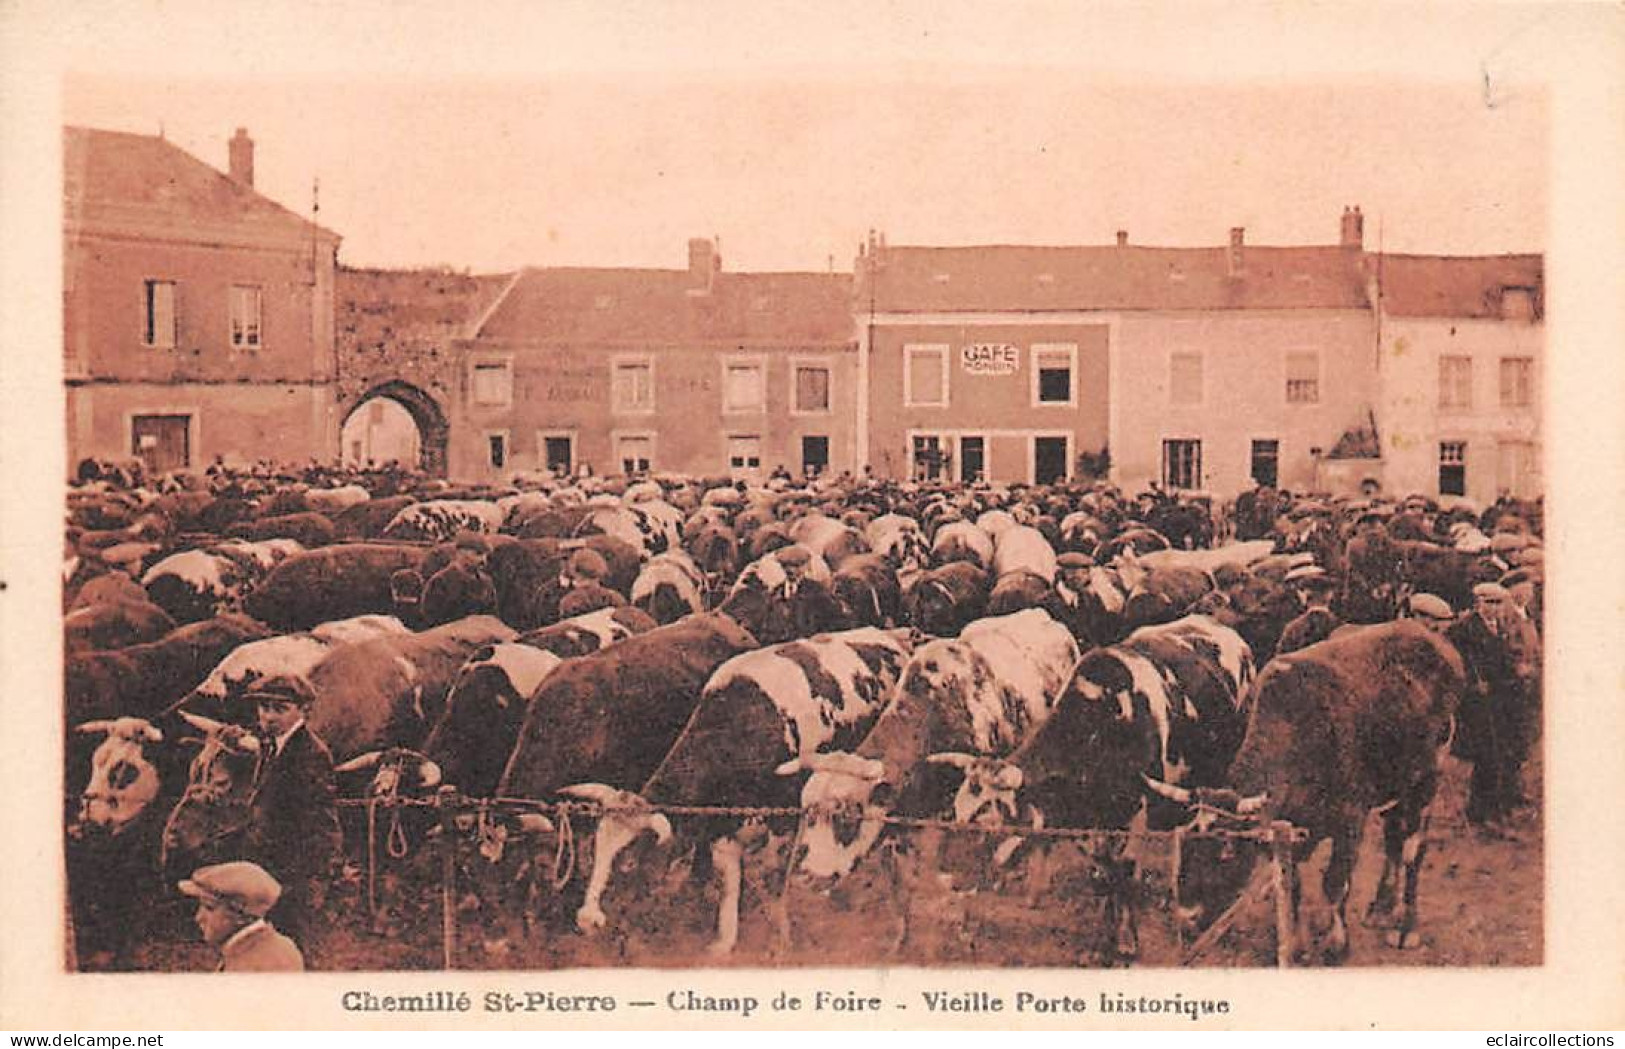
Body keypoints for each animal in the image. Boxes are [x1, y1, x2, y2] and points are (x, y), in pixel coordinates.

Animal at [559, 630, 916, 954]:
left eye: (629, 862)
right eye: (595, 849)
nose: (587, 920)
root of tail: (890, 636)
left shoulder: (786, 817)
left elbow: (775, 879)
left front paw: (780, 937)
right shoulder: (719, 822)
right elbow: (727, 880)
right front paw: (721, 938)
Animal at [1150, 623, 1469, 967]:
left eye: (1226, 852)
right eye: (1185, 845)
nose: (1186, 920)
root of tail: (1430, 636)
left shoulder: (1351, 820)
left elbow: (1335, 882)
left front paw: (1336, 945)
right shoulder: (1292, 830)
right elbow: (1293, 885)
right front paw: (1298, 945)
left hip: (1428, 778)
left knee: (1413, 849)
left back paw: (1406, 927)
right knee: (1393, 837)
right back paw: (1380, 907)